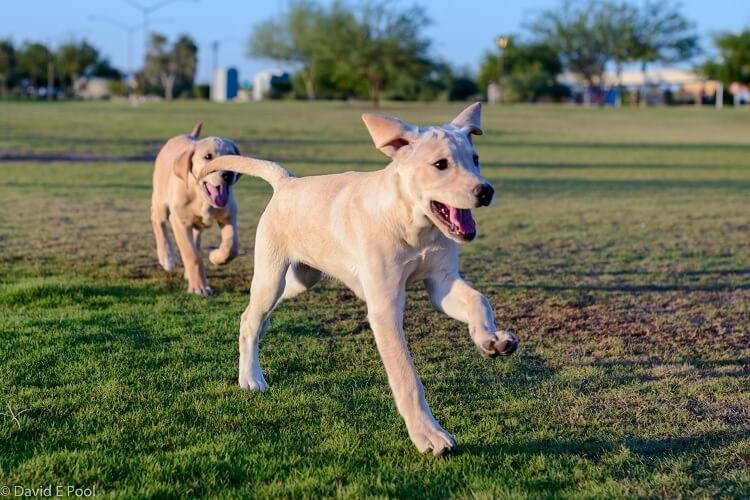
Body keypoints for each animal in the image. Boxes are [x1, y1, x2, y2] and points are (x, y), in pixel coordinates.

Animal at [201, 103, 516, 456]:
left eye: (475, 159)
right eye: (440, 164)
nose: (486, 191)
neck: (410, 223)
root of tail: (287, 182)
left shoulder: (441, 282)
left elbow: (479, 299)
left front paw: (491, 340)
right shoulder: (385, 307)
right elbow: (407, 377)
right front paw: (429, 435)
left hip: (302, 278)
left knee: (260, 313)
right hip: (271, 276)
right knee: (248, 319)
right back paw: (251, 377)